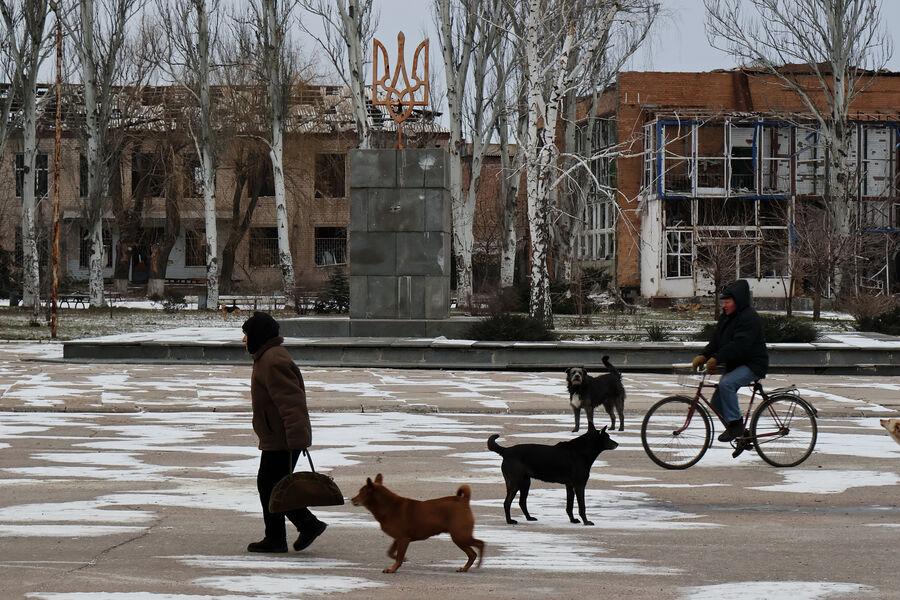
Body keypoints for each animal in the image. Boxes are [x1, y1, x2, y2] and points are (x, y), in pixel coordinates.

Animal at [350, 473, 484, 573]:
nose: (352, 499)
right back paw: (465, 568)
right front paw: (403, 560)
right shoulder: (398, 539)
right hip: (460, 537)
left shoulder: (403, 539)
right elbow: (390, 553)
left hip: (459, 536)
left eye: (361, 492)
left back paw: (478, 563)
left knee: (480, 544)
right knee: (472, 553)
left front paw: (393, 569)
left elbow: (398, 557)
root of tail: (464, 501)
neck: (389, 506)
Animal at [487, 426, 619, 526]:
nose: (617, 443)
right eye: (608, 437)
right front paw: (586, 522)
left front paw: (573, 520)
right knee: (507, 502)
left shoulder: (570, 486)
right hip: (515, 482)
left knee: (521, 502)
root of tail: (506, 451)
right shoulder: (579, 485)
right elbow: (582, 506)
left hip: (525, 482)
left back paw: (529, 518)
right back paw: (509, 521)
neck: (581, 451)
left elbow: (569, 506)